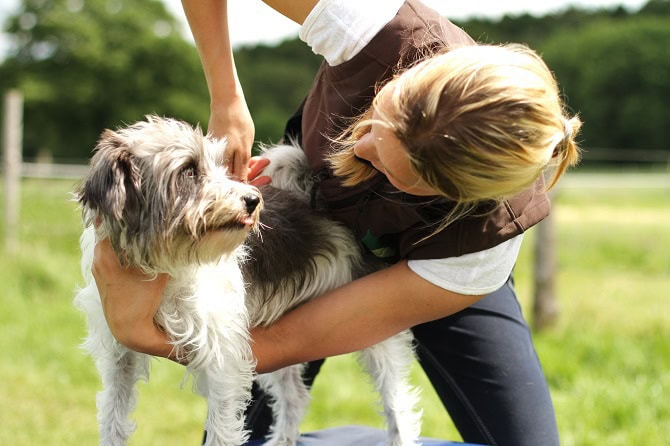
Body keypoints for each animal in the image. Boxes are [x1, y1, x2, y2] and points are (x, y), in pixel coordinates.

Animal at [72, 116, 420, 446]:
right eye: (188, 170)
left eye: (219, 166)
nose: (253, 200)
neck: (166, 263)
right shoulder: (119, 357)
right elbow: (113, 421)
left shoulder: (222, 360)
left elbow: (222, 431)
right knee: (295, 395)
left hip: (375, 329)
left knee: (398, 404)